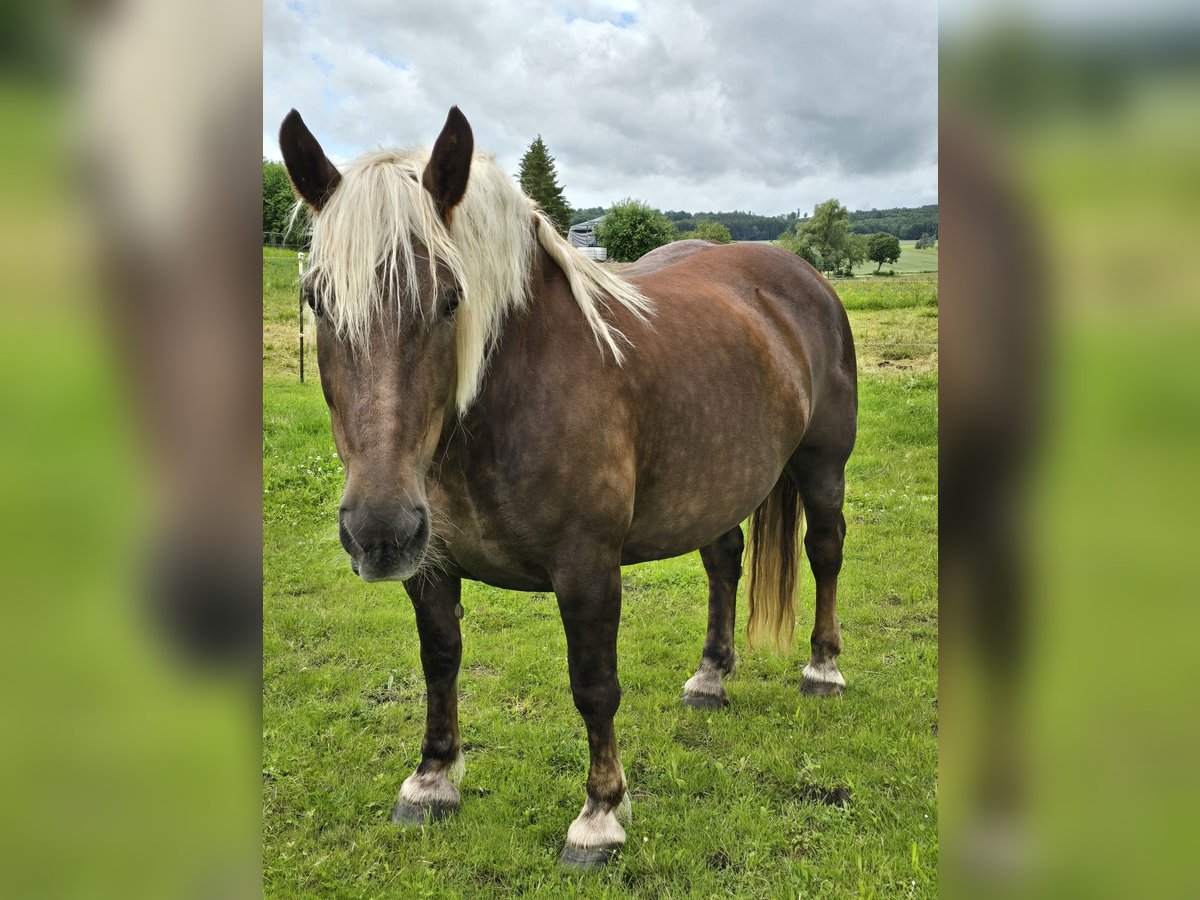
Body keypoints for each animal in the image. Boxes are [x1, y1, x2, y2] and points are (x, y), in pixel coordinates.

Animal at [278, 107, 864, 873]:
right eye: (317, 300)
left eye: (450, 300)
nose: (380, 532)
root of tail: (802, 275)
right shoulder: (430, 567)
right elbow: (440, 663)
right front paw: (432, 780)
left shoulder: (587, 568)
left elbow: (594, 685)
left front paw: (600, 815)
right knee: (723, 563)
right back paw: (710, 677)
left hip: (823, 468)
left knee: (825, 552)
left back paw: (823, 668)